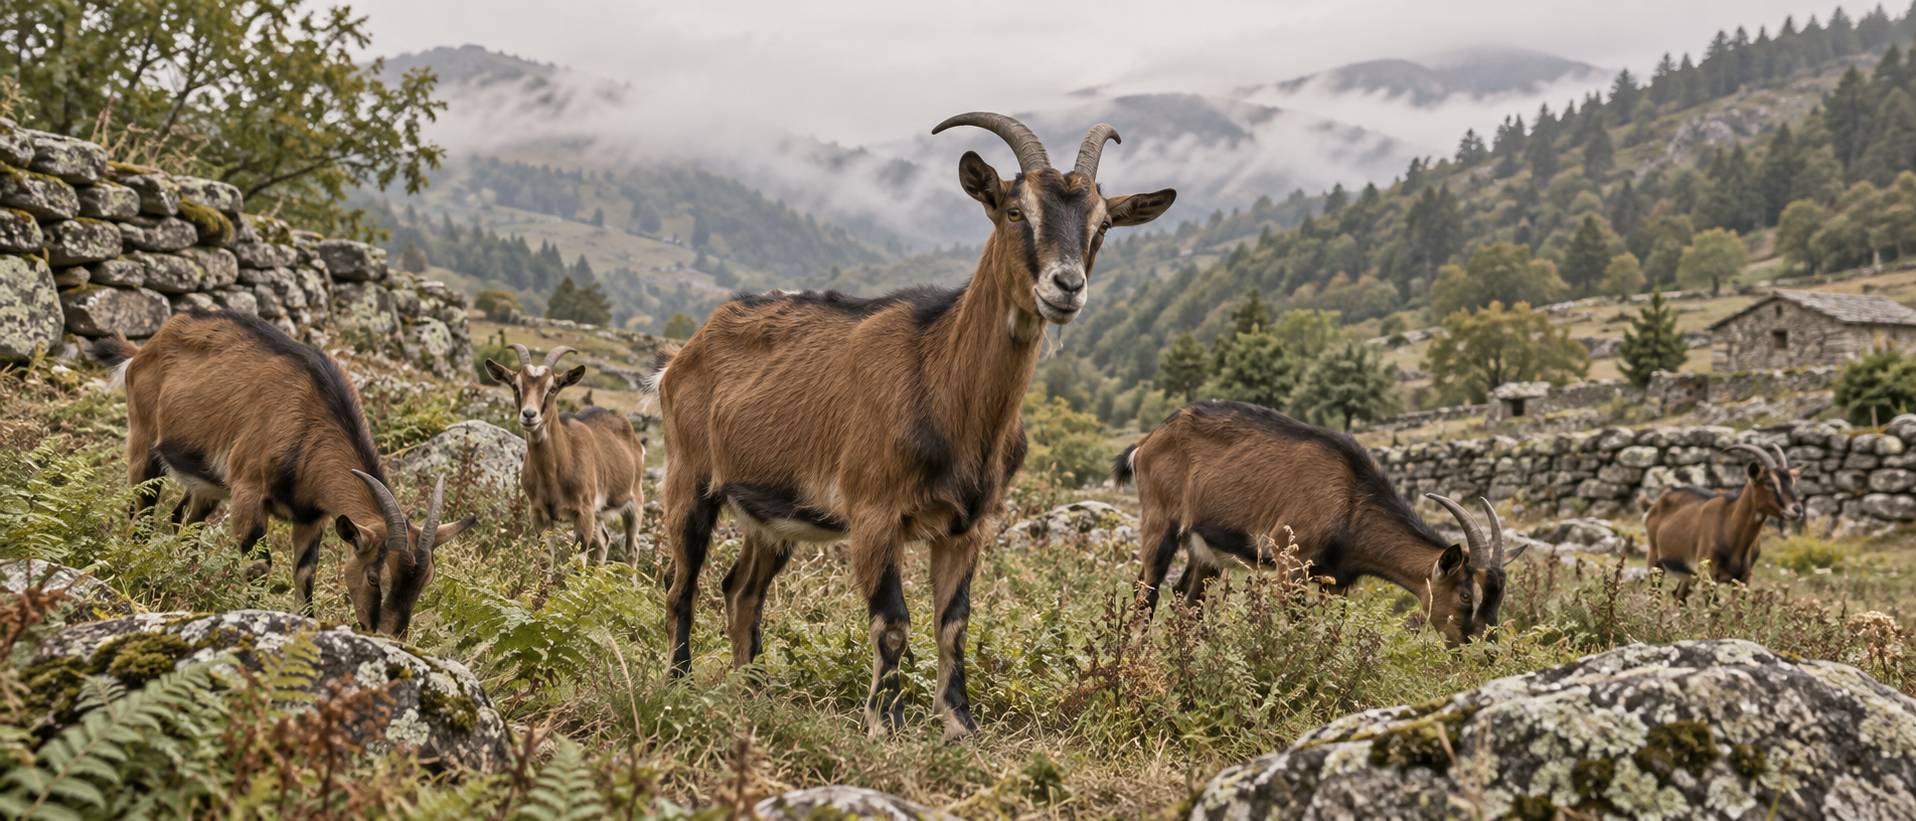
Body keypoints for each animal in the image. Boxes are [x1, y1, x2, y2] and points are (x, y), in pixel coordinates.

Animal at [91, 310, 473, 636]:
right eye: (375, 579)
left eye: (425, 583)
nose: (388, 636)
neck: (309, 422)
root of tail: (145, 348)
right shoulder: (248, 492)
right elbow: (260, 566)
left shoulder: (312, 517)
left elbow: (305, 574)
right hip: (143, 440)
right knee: (141, 510)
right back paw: (141, 567)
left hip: (207, 482)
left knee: (184, 520)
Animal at [484, 344, 647, 568]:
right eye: (516, 386)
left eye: (552, 388)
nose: (529, 415)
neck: (557, 471)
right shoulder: (540, 514)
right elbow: (545, 562)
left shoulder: (584, 512)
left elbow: (577, 564)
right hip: (600, 512)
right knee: (604, 541)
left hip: (634, 502)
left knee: (632, 549)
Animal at [647, 112, 1175, 738]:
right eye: (1014, 210)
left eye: (1102, 226)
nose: (1066, 286)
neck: (943, 385)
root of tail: (685, 353)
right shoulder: (875, 513)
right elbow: (893, 621)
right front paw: (886, 721)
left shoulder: (969, 526)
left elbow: (955, 623)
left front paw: (959, 722)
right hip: (689, 478)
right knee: (681, 585)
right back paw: (678, 683)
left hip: (772, 514)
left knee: (741, 591)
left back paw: (753, 691)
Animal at [1114, 400, 1523, 646]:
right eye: (1467, 595)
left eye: (1499, 599)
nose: (1484, 647)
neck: (1351, 499)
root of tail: (1145, 444)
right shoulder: (1289, 563)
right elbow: (1298, 624)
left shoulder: (1336, 582)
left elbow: (1330, 628)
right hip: (1159, 522)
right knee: (1146, 591)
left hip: (1206, 550)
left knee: (1187, 596)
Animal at [1643, 442, 1801, 597]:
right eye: (1769, 482)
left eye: (1793, 481)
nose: (1797, 509)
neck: (1729, 527)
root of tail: (1661, 499)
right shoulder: (1708, 574)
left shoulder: (1743, 578)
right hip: (1655, 560)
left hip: (1688, 575)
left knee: (1678, 596)